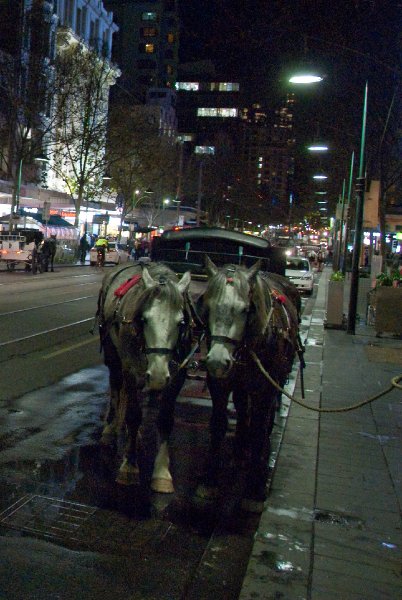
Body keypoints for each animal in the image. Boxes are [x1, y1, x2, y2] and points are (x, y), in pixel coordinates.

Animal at [96, 264, 192, 494]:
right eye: (144, 319)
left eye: (181, 322)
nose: (157, 374)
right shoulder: (130, 369)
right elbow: (133, 414)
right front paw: (129, 467)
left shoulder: (177, 376)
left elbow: (165, 420)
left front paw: (162, 473)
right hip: (114, 355)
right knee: (116, 386)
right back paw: (110, 430)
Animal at [199, 255, 302, 512]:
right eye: (207, 307)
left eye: (246, 309)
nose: (217, 360)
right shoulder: (221, 383)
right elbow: (218, 423)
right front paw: (210, 480)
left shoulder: (265, 386)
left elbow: (258, 426)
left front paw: (255, 488)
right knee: (243, 405)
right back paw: (239, 448)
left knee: (263, 416)